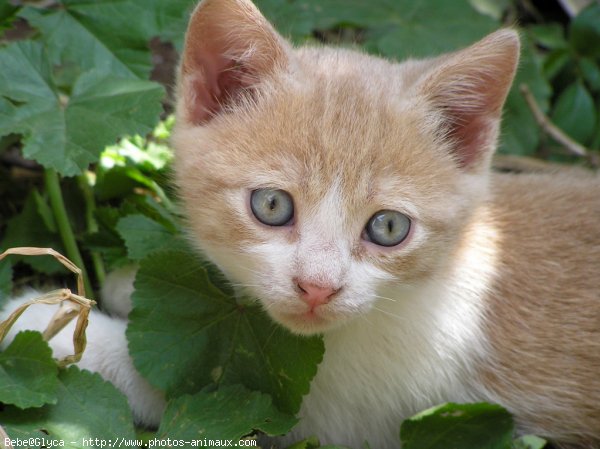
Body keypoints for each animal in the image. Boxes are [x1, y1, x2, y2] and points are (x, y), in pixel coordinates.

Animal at [1, 0, 600, 448]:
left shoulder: (338, 412)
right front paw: (128, 283)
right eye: (272, 205)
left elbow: (197, 383)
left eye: (388, 228)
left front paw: (51, 326)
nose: (317, 287)